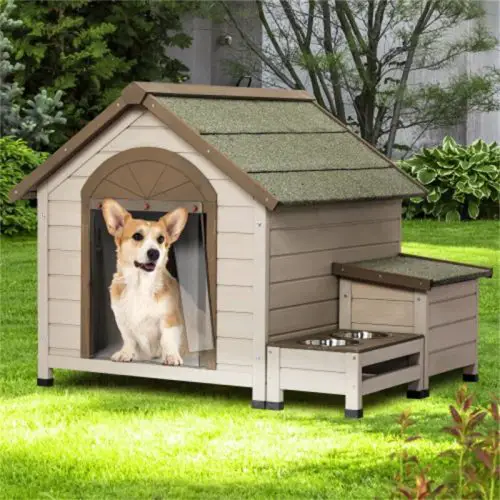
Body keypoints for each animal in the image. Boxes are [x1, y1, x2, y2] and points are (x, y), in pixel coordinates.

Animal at [102, 197, 188, 366]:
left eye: (161, 239)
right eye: (137, 236)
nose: (154, 253)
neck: (140, 284)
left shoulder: (169, 318)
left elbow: (167, 339)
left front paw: (170, 356)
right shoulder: (122, 320)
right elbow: (128, 339)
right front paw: (126, 353)